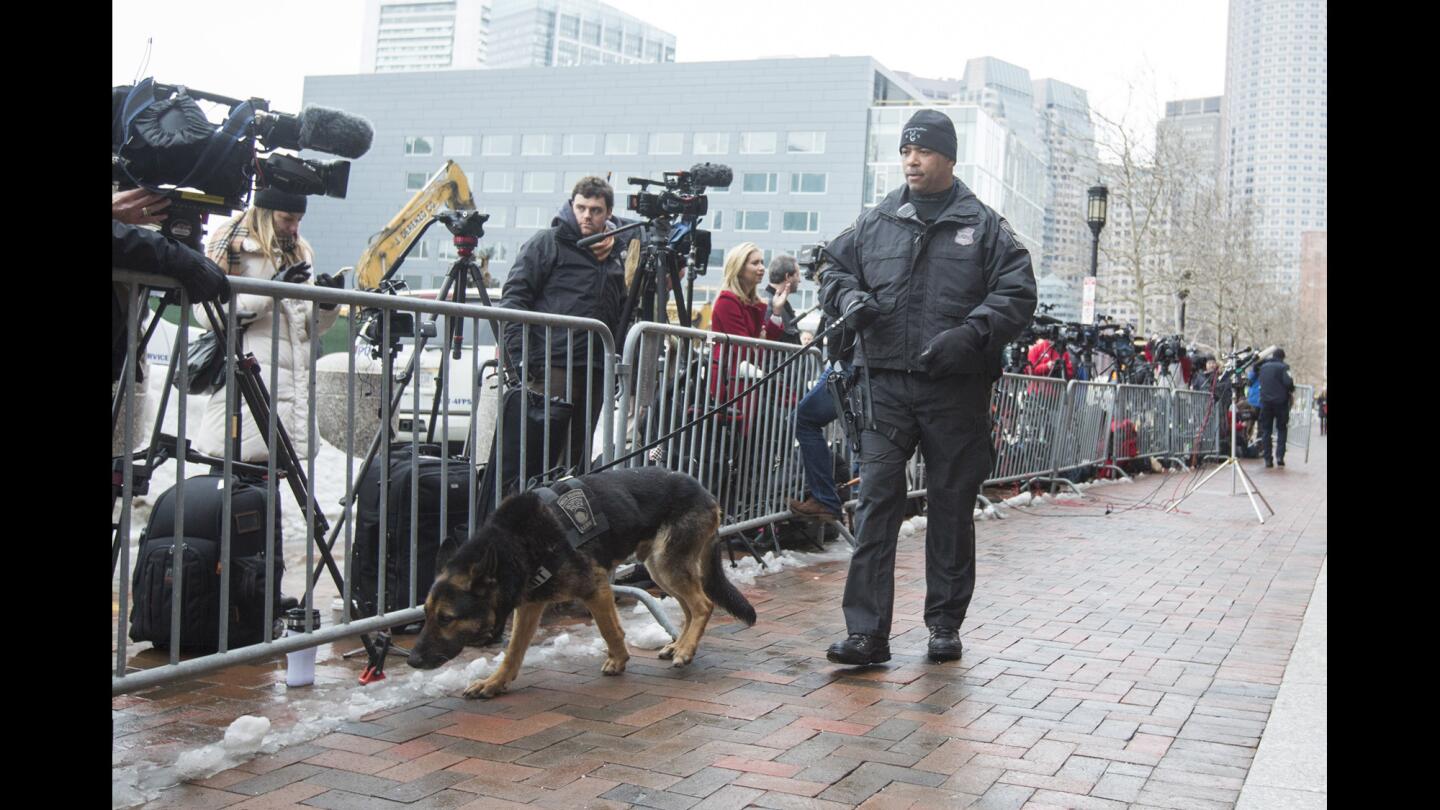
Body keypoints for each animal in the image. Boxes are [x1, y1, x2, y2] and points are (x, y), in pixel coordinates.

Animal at [406, 464, 760, 697]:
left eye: (446, 618)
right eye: (426, 615)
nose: (411, 660)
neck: (515, 545)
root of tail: (705, 491)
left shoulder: (596, 587)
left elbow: (609, 630)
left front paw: (618, 660)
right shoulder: (530, 605)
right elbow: (514, 650)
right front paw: (495, 683)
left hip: (666, 563)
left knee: (703, 604)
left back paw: (685, 650)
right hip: (659, 568)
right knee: (688, 607)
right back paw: (680, 645)